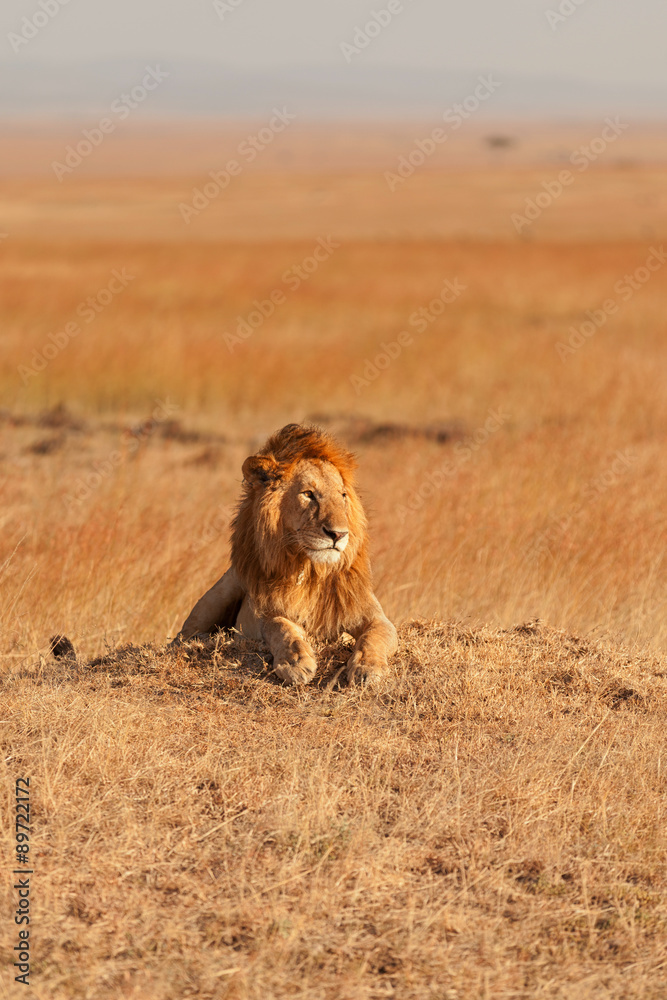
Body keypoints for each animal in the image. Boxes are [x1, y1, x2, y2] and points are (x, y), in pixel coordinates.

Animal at [175, 423, 397, 684]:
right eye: (308, 494)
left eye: (342, 496)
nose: (339, 534)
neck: (312, 572)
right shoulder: (267, 612)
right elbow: (281, 628)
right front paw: (295, 662)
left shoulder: (374, 616)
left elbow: (376, 636)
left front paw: (368, 667)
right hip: (221, 592)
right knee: (182, 636)